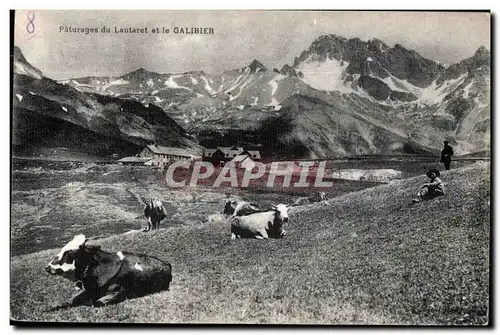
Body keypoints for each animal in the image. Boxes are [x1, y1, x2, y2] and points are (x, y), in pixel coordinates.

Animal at [45, 235, 174, 308]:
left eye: (69, 254)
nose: (47, 267)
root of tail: (166, 263)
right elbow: (75, 299)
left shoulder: (119, 291)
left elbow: (98, 303)